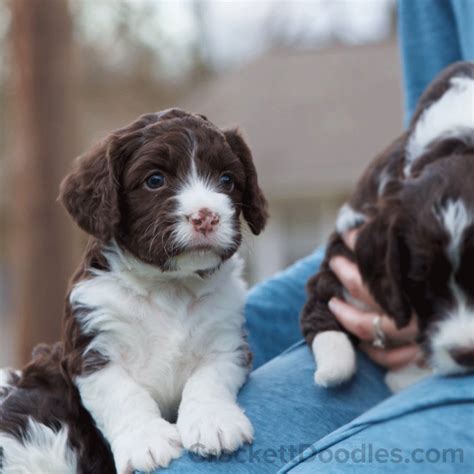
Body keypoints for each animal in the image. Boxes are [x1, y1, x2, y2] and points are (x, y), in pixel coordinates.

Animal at [0, 109, 266, 472]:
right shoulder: (93, 350)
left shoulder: (226, 341)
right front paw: (147, 440)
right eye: (155, 180)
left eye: (227, 180)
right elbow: (123, 395)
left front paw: (214, 422)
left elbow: (208, 379)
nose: (206, 217)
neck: (169, 285)